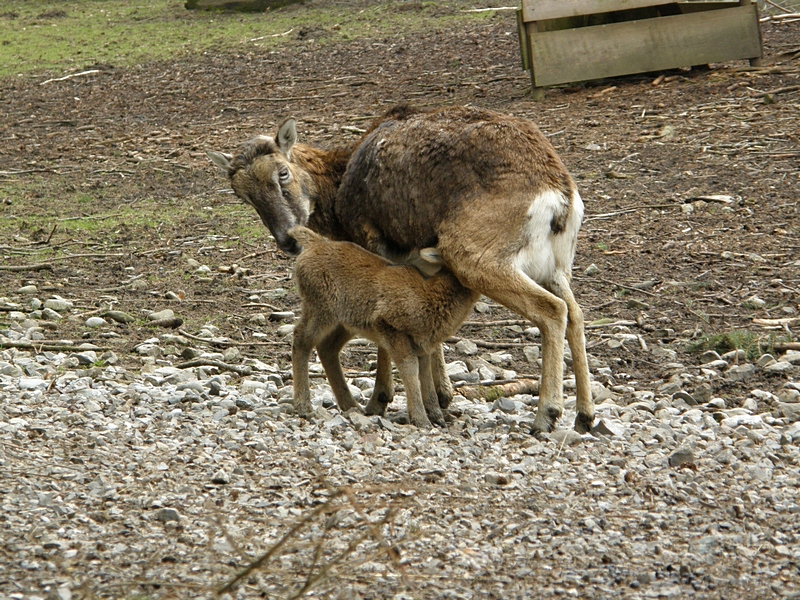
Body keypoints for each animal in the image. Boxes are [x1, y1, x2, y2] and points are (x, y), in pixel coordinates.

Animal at [209, 104, 596, 432]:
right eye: (242, 195)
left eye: (283, 173)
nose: (286, 239)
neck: (339, 191)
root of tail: (560, 197)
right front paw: (439, 396)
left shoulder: (376, 240)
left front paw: (382, 400)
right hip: (554, 266)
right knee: (576, 313)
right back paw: (584, 415)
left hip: (477, 255)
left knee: (552, 310)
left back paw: (547, 414)